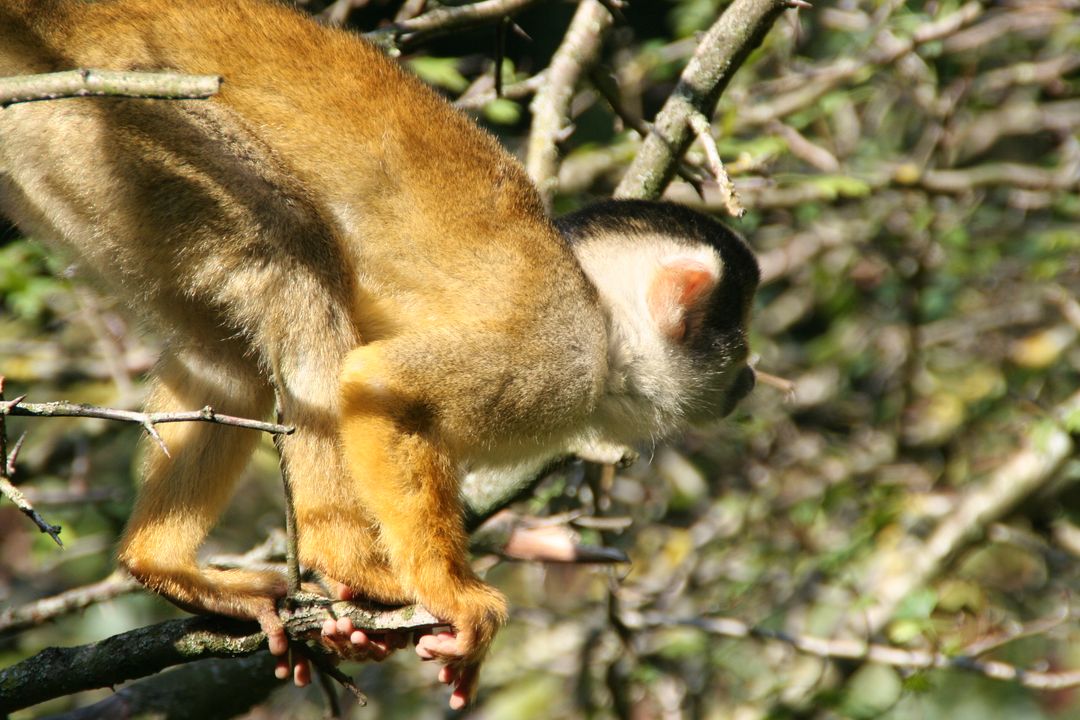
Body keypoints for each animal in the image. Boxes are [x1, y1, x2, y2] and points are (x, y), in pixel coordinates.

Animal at [0, 0, 760, 708]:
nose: (751, 374)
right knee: (292, 248)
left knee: (230, 355)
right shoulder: (557, 358)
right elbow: (383, 382)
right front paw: (451, 592)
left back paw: (164, 566)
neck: (602, 321)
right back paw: (350, 565)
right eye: (735, 332)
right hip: (122, 119)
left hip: (71, 162)